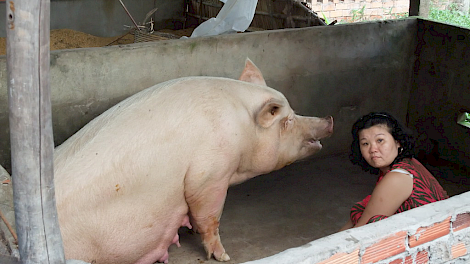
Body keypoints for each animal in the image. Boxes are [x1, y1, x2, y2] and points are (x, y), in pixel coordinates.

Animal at [54, 58, 334, 262]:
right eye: (288, 120)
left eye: (294, 113)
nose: (329, 119)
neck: (242, 128)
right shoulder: (210, 175)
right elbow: (209, 217)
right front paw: (223, 257)